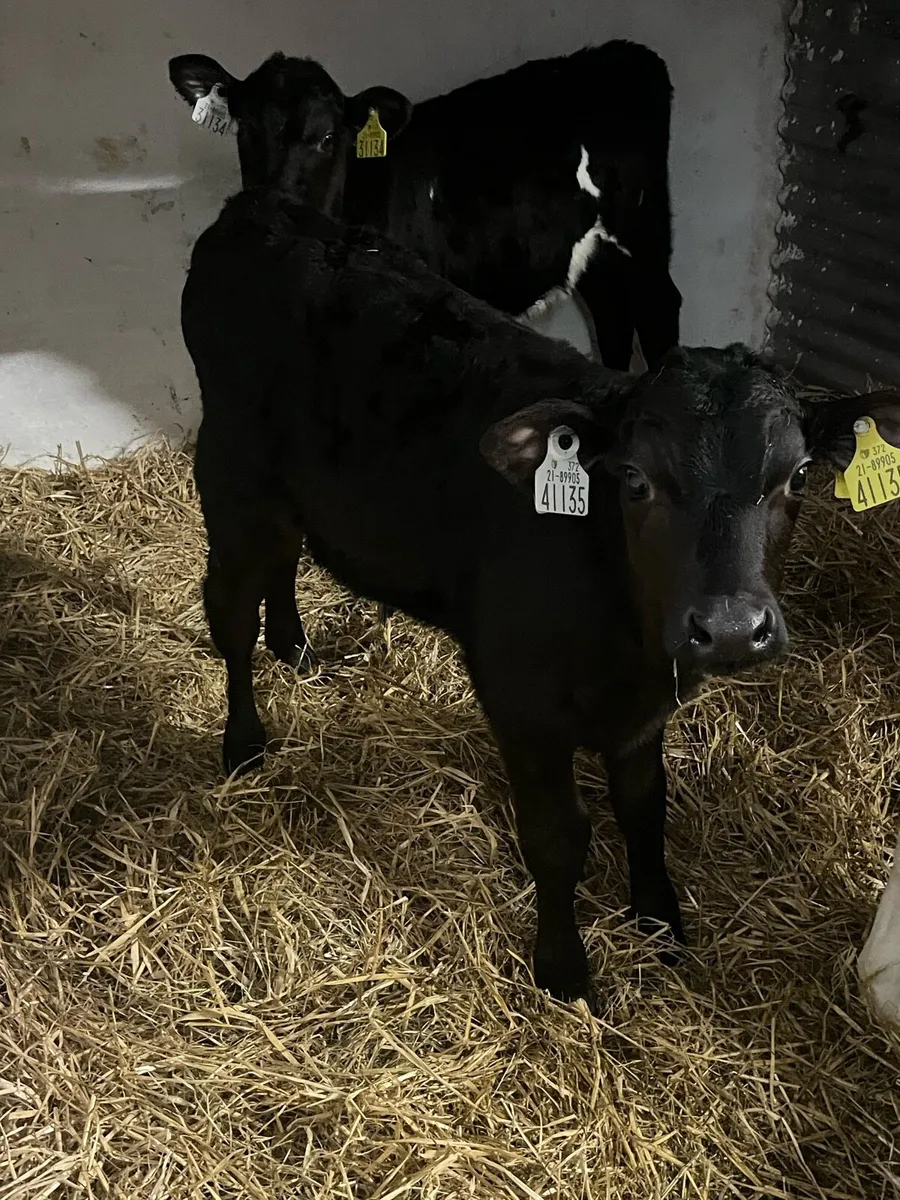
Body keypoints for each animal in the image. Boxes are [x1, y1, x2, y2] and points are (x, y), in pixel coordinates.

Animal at [168, 40, 680, 374]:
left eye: (328, 137)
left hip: (643, 236)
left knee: (659, 310)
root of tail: (627, 54)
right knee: (613, 316)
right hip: (596, 252)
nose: (274, 203)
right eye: (246, 130)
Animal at [179, 185, 900, 1007]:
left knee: (281, 566)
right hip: (233, 478)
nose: (727, 628)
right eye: (634, 480)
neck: (624, 630)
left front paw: (659, 918)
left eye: (800, 476)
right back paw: (244, 742)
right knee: (230, 612)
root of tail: (262, 206)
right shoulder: (520, 702)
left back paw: (296, 646)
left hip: (291, 497)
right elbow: (558, 838)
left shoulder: (643, 713)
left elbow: (644, 806)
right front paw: (564, 972)